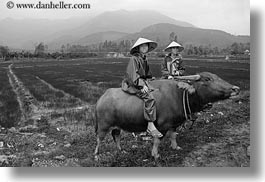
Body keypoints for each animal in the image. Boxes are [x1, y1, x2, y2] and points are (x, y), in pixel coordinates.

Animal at [93, 72, 239, 160]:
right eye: (208, 79)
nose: (235, 89)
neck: (180, 95)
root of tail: (101, 98)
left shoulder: (174, 123)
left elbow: (173, 135)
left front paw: (175, 147)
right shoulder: (162, 125)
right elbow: (158, 140)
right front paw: (155, 155)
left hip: (117, 125)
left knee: (116, 135)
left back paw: (121, 151)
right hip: (103, 125)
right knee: (99, 139)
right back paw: (97, 156)